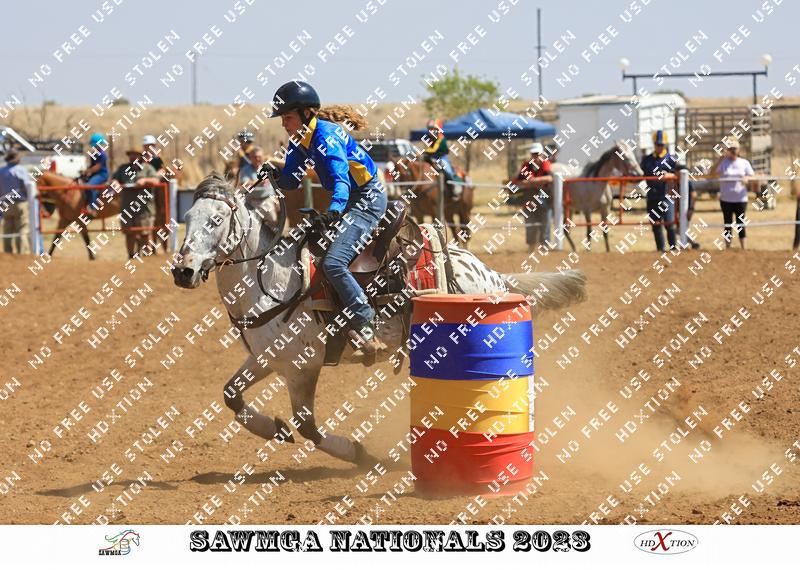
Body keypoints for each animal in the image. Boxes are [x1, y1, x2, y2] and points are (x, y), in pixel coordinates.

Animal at [170, 172, 588, 466]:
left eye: (216, 220)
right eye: (187, 217)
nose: (183, 271)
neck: (273, 280)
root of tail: (491, 275)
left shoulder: (303, 367)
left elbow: (307, 425)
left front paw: (357, 453)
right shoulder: (266, 358)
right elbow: (231, 395)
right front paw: (273, 429)